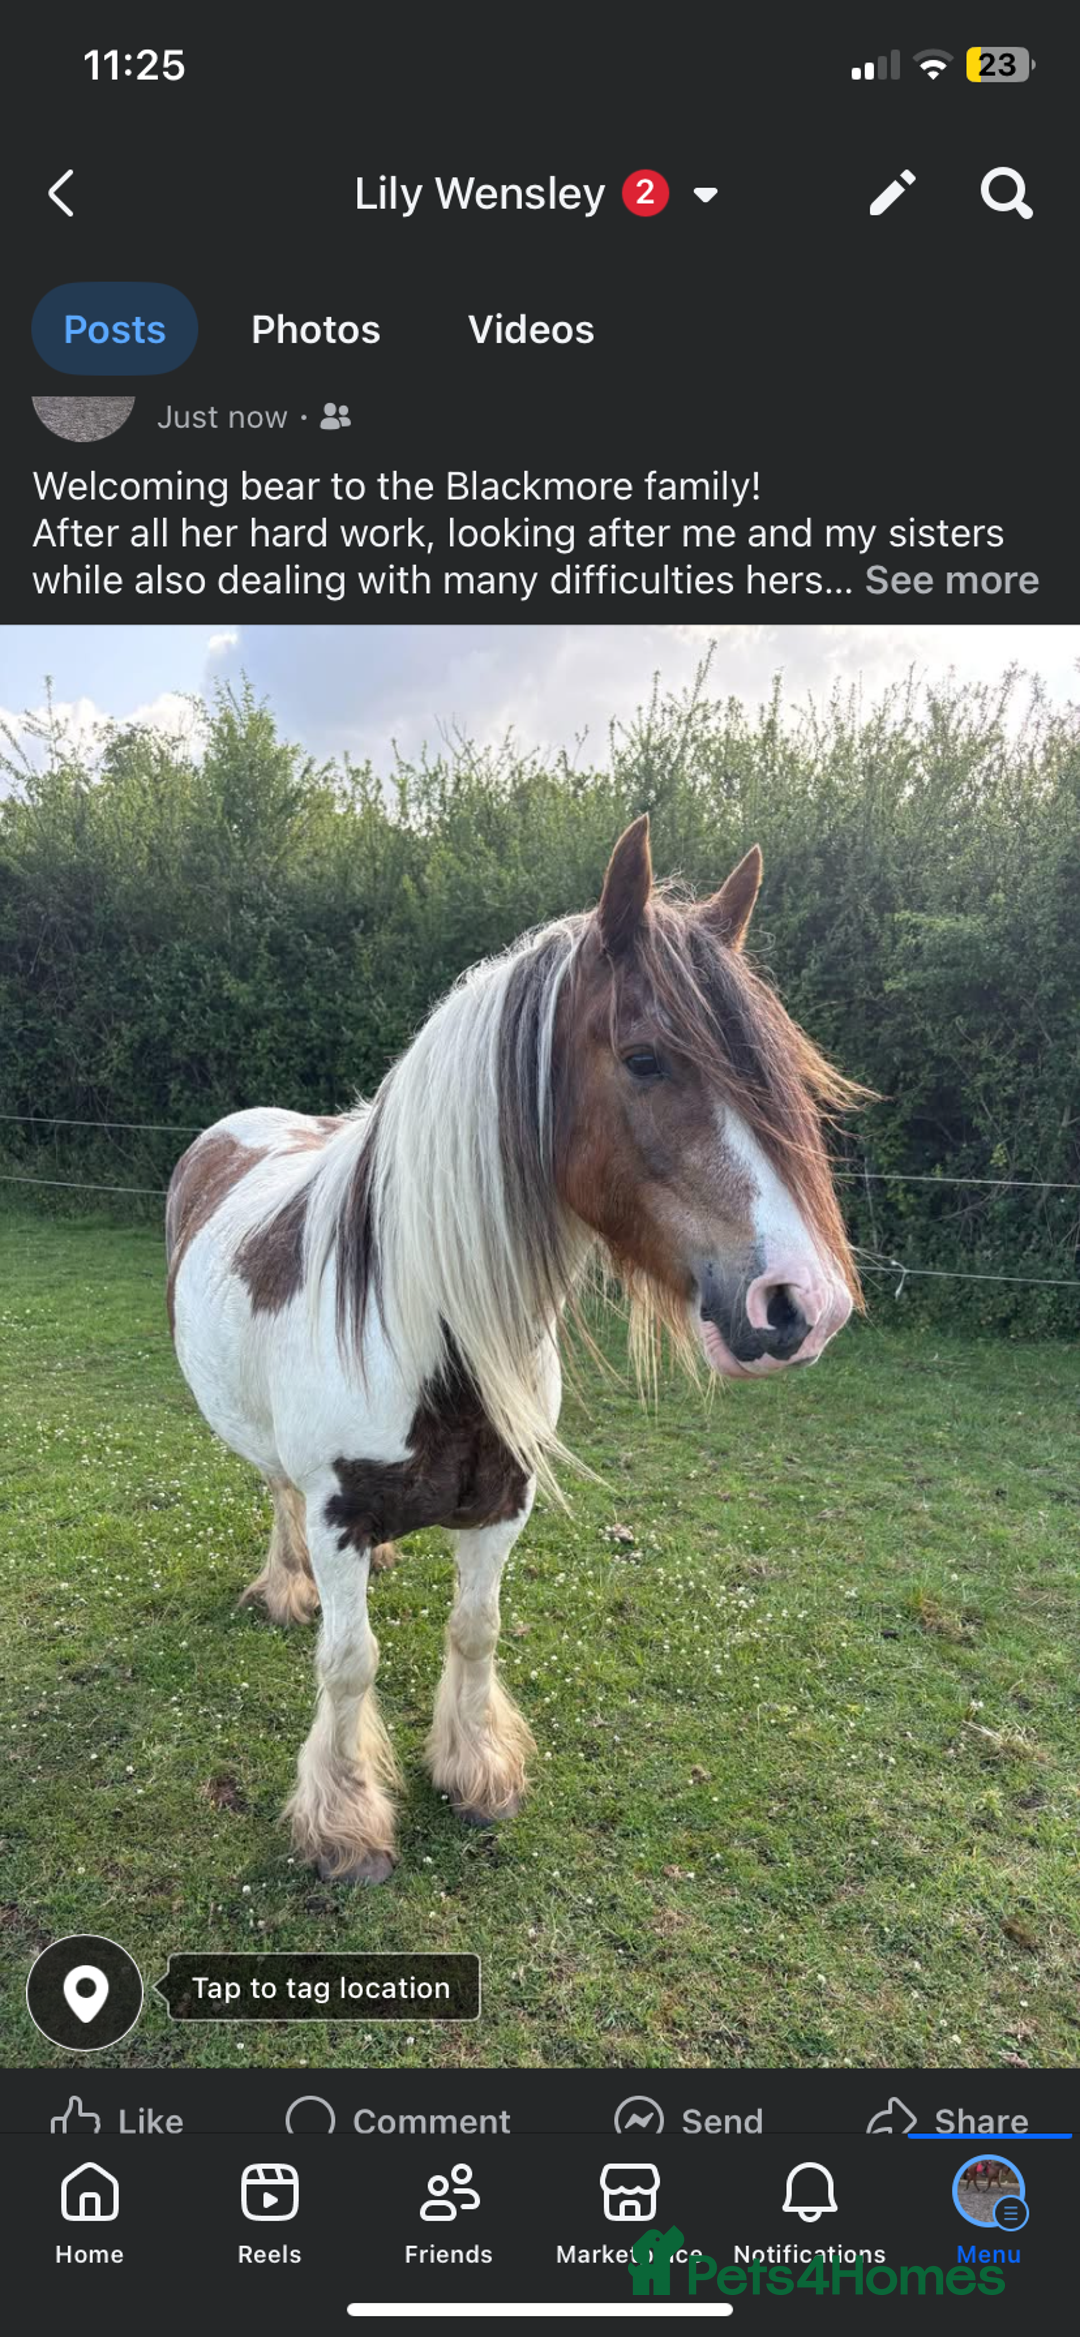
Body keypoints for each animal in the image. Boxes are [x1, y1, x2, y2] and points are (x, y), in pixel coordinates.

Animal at [165, 815, 861, 1883]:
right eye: (645, 1058)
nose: (802, 1305)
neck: (428, 1341)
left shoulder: (502, 1504)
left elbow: (476, 1628)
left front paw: (477, 1770)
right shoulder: (338, 1512)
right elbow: (349, 1661)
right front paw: (345, 1822)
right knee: (276, 1491)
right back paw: (285, 1590)